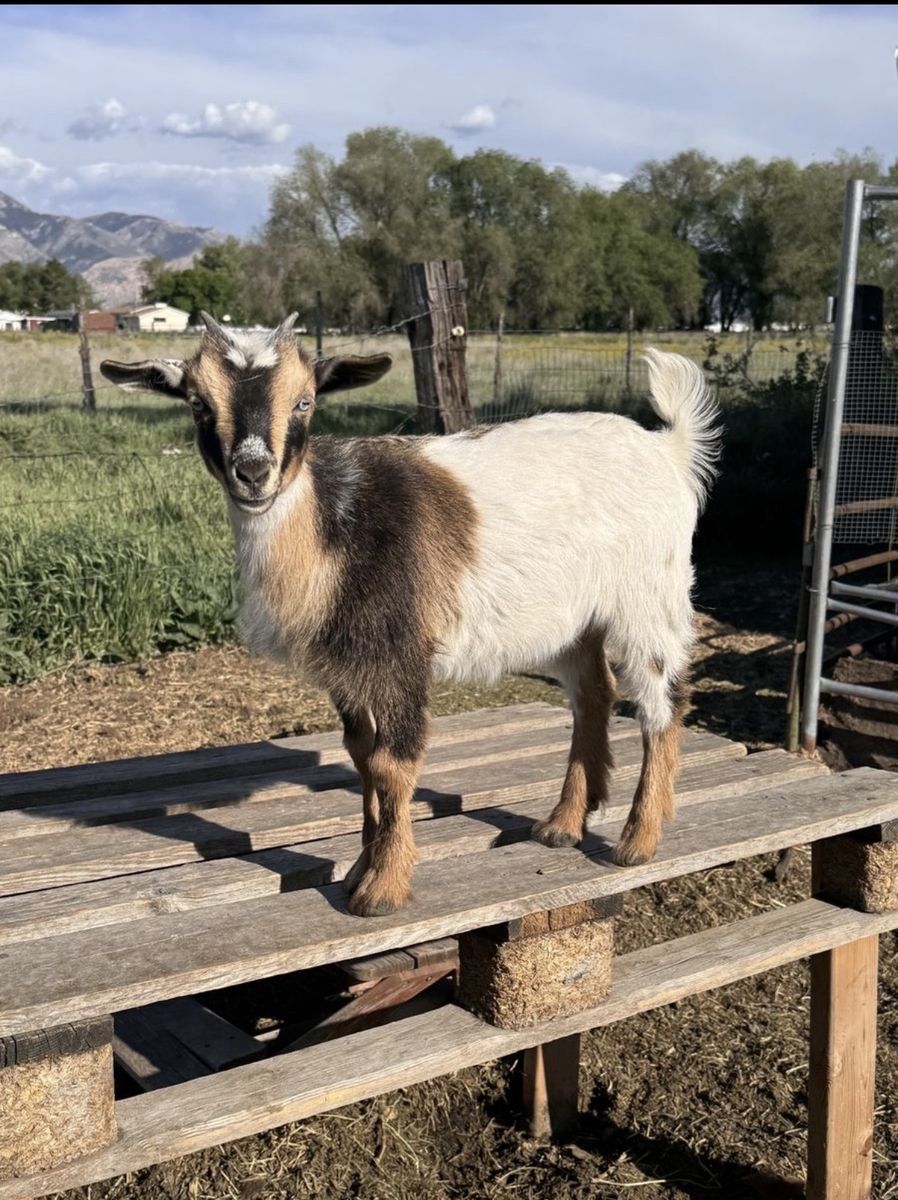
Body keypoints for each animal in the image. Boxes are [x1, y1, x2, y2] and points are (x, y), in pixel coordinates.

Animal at [101, 315, 719, 917]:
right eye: (198, 403)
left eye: (304, 401)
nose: (253, 472)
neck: (329, 528)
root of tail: (667, 448)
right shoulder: (349, 667)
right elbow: (362, 757)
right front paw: (359, 866)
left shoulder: (401, 654)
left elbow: (394, 764)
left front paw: (383, 889)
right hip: (570, 619)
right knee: (593, 693)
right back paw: (561, 825)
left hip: (650, 595)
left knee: (662, 702)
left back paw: (638, 840)